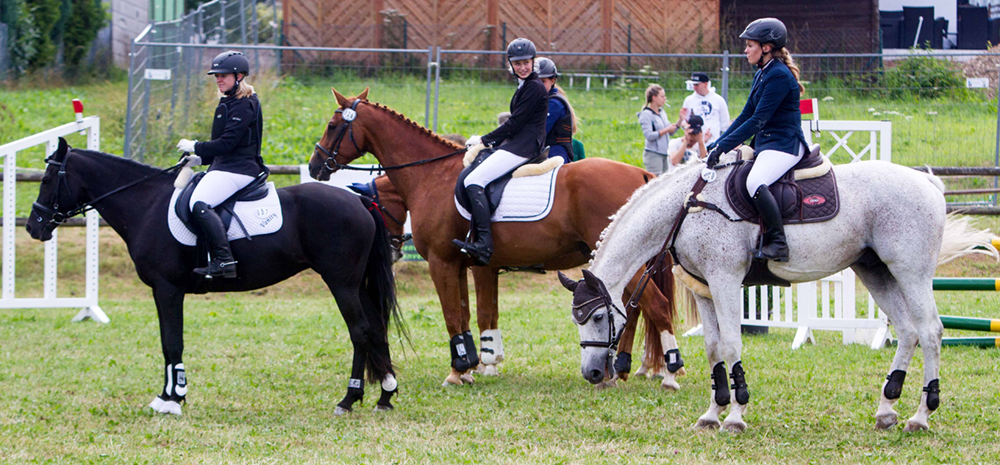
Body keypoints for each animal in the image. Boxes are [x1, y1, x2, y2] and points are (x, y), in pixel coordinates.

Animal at [27, 137, 402, 414]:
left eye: (46, 180)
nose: (33, 227)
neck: (146, 205)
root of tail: (358, 200)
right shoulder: (164, 291)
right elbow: (167, 343)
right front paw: (169, 396)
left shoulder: (167, 289)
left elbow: (172, 342)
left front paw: (173, 399)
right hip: (357, 284)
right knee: (375, 328)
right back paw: (385, 395)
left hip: (341, 283)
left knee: (359, 331)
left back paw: (349, 399)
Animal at [312, 89, 684, 386]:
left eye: (332, 126)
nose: (316, 166)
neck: (431, 176)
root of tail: (642, 173)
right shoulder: (468, 265)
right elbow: (471, 314)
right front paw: (474, 367)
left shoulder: (442, 263)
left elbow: (455, 316)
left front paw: (459, 370)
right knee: (633, 309)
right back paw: (620, 367)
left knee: (656, 306)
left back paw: (670, 370)